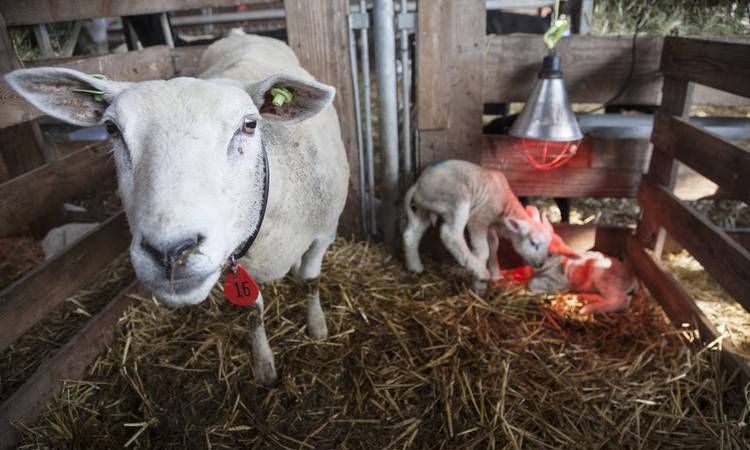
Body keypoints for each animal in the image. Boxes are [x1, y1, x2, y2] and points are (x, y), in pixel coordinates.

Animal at [8, 31, 350, 384]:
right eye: (111, 129)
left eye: (249, 124)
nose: (170, 252)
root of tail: (241, 33)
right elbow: (252, 310)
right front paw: (264, 364)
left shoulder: (325, 232)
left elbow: (311, 279)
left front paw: (317, 326)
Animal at [402, 159, 556, 292]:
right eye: (534, 243)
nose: (541, 264)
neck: (504, 203)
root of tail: (418, 185)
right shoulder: (479, 218)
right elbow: (483, 250)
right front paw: (479, 283)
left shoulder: (490, 225)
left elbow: (494, 245)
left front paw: (495, 274)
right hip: (456, 199)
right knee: (450, 235)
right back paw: (480, 271)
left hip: (424, 209)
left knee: (411, 235)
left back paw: (415, 267)